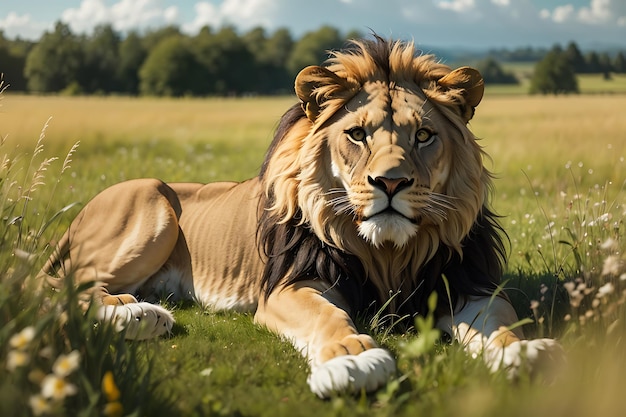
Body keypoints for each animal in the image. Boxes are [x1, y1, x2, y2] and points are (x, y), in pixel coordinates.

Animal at [37, 35, 560, 396]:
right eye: (357, 134)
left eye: (425, 136)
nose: (391, 183)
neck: (389, 253)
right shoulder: (292, 285)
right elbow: (328, 318)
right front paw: (351, 361)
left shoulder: (467, 283)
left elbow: (501, 322)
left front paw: (523, 352)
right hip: (151, 204)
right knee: (51, 285)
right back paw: (136, 315)